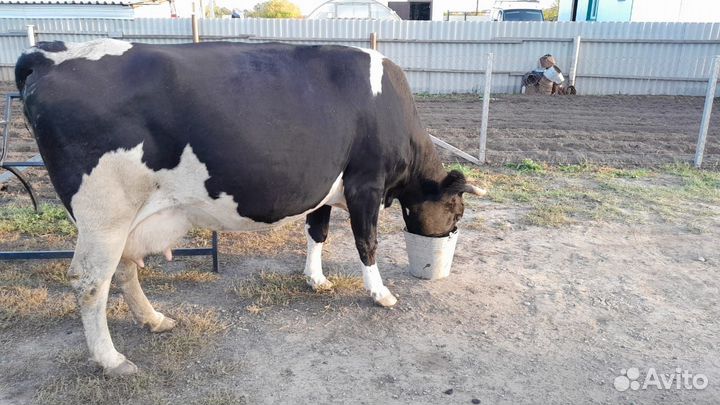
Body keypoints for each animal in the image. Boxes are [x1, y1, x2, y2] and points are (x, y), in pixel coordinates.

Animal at [15, 39, 485, 376]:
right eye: (458, 213)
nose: (449, 238)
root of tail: (50, 54)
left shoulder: (325, 185)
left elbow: (317, 231)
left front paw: (316, 279)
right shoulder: (365, 183)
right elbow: (366, 242)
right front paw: (381, 293)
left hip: (126, 216)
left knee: (124, 269)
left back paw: (154, 320)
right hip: (105, 212)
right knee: (90, 282)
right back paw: (112, 360)